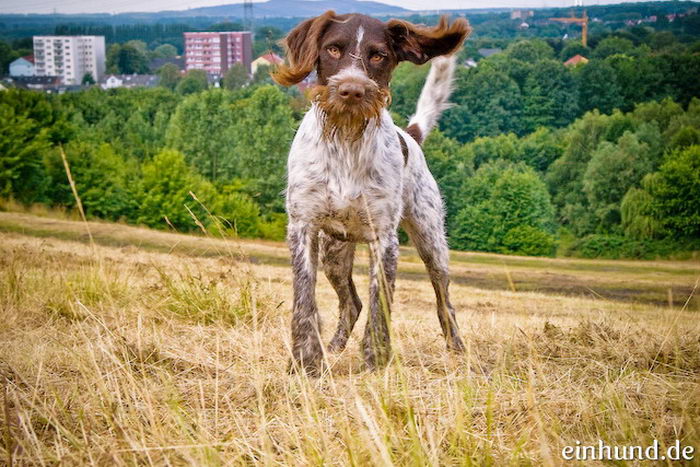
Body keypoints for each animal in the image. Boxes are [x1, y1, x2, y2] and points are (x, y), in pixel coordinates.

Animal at [272, 11, 470, 376]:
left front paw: (376, 364)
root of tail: (411, 136)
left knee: (443, 300)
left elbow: (381, 307)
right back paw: (333, 348)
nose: (352, 90)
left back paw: (457, 348)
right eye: (333, 49)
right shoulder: (303, 228)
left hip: (432, 243)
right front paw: (306, 363)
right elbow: (304, 302)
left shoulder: (384, 240)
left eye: (379, 55)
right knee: (351, 302)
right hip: (334, 253)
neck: (346, 139)